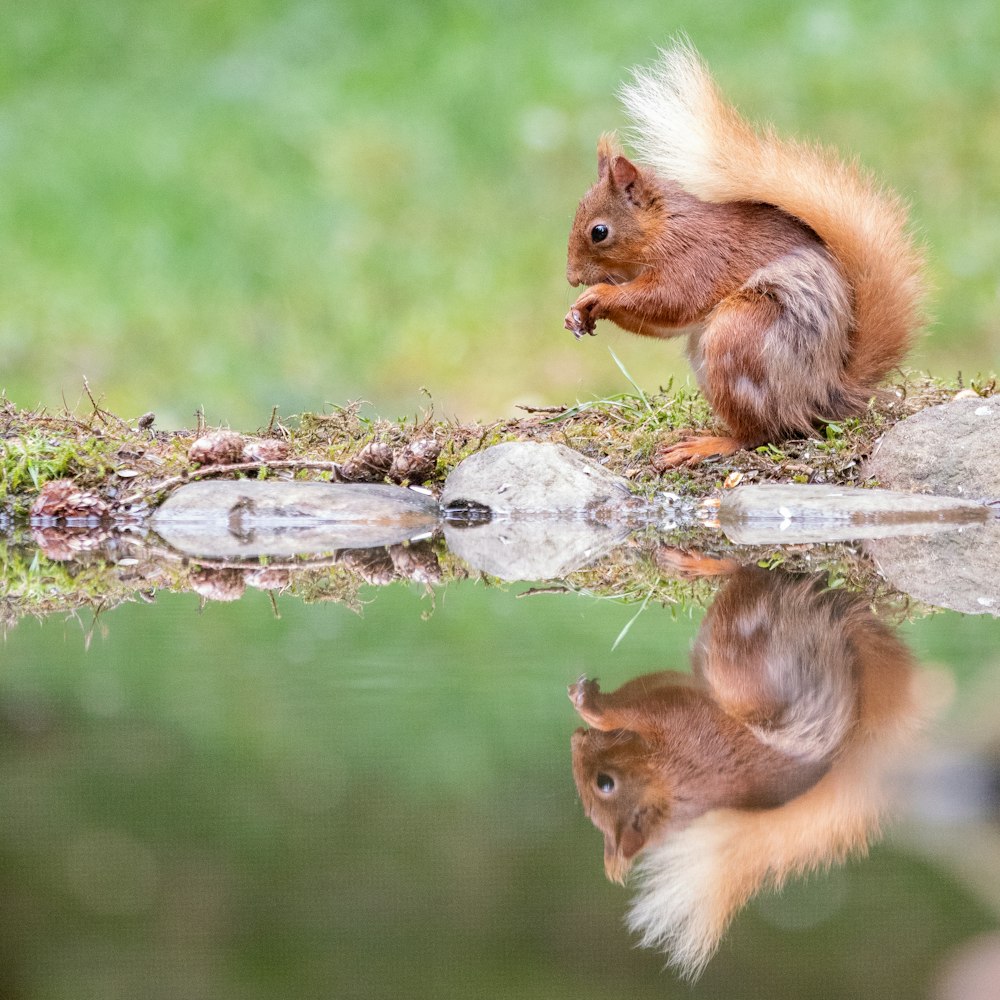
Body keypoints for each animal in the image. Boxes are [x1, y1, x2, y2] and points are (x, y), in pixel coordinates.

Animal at [568, 44, 924, 468]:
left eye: (599, 232)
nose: (571, 277)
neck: (665, 228)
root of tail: (823, 395)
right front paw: (576, 311)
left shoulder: (697, 259)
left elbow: (668, 302)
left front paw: (598, 296)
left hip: (738, 337)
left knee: (761, 433)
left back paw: (709, 444)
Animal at [568, 568, 924, 980]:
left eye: (604, 783)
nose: (576, 741)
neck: (666, 782)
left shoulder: (680, 725)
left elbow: (631, 708)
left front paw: (592, 707)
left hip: (738, 662)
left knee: (745, 582)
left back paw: (706, 563)